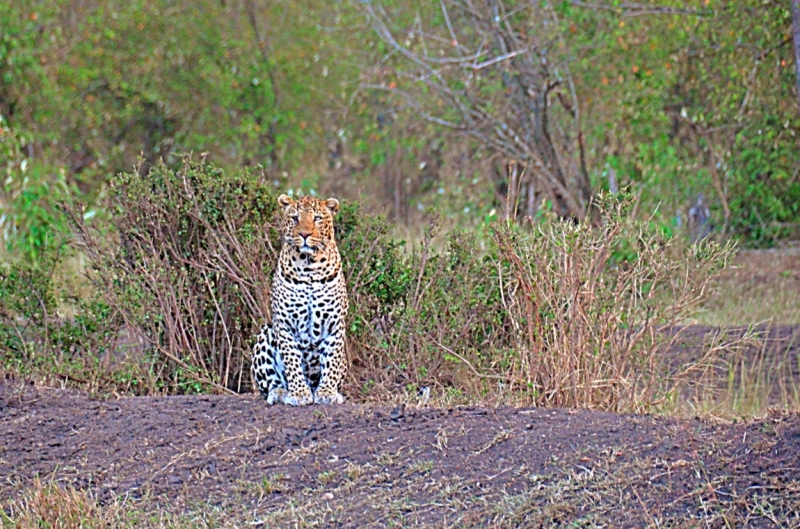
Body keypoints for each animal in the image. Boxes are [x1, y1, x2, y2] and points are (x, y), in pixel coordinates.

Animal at [252, 194, 348, 404]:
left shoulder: (335, 323)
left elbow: (331, 360)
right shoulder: (284, 323)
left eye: (317, 218)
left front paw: (327, 393)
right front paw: (298, 394)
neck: (309, 265)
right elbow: (292, 359)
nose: (304, 234)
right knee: (271, 382)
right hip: (266, 332)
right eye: (295, 218)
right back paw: (279, 393)